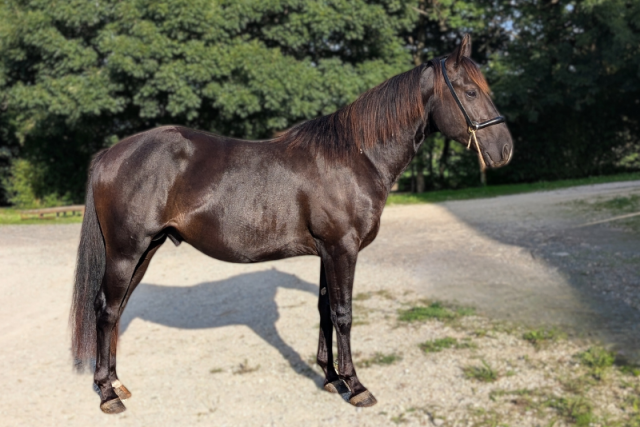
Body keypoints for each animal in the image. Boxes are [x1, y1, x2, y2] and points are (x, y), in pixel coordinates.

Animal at [70, 34, 512, 414]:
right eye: (470, 92)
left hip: (145, 250)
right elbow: (344, 313)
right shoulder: (342, 249)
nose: (505, 149)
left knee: (117, 310)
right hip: (126, 252)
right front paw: (357, 386)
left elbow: (324, 310)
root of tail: (111, 153)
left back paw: (116, 382)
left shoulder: (327, 252)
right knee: (106, 310)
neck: (354, 156)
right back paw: (107, 393)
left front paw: (332, 378)